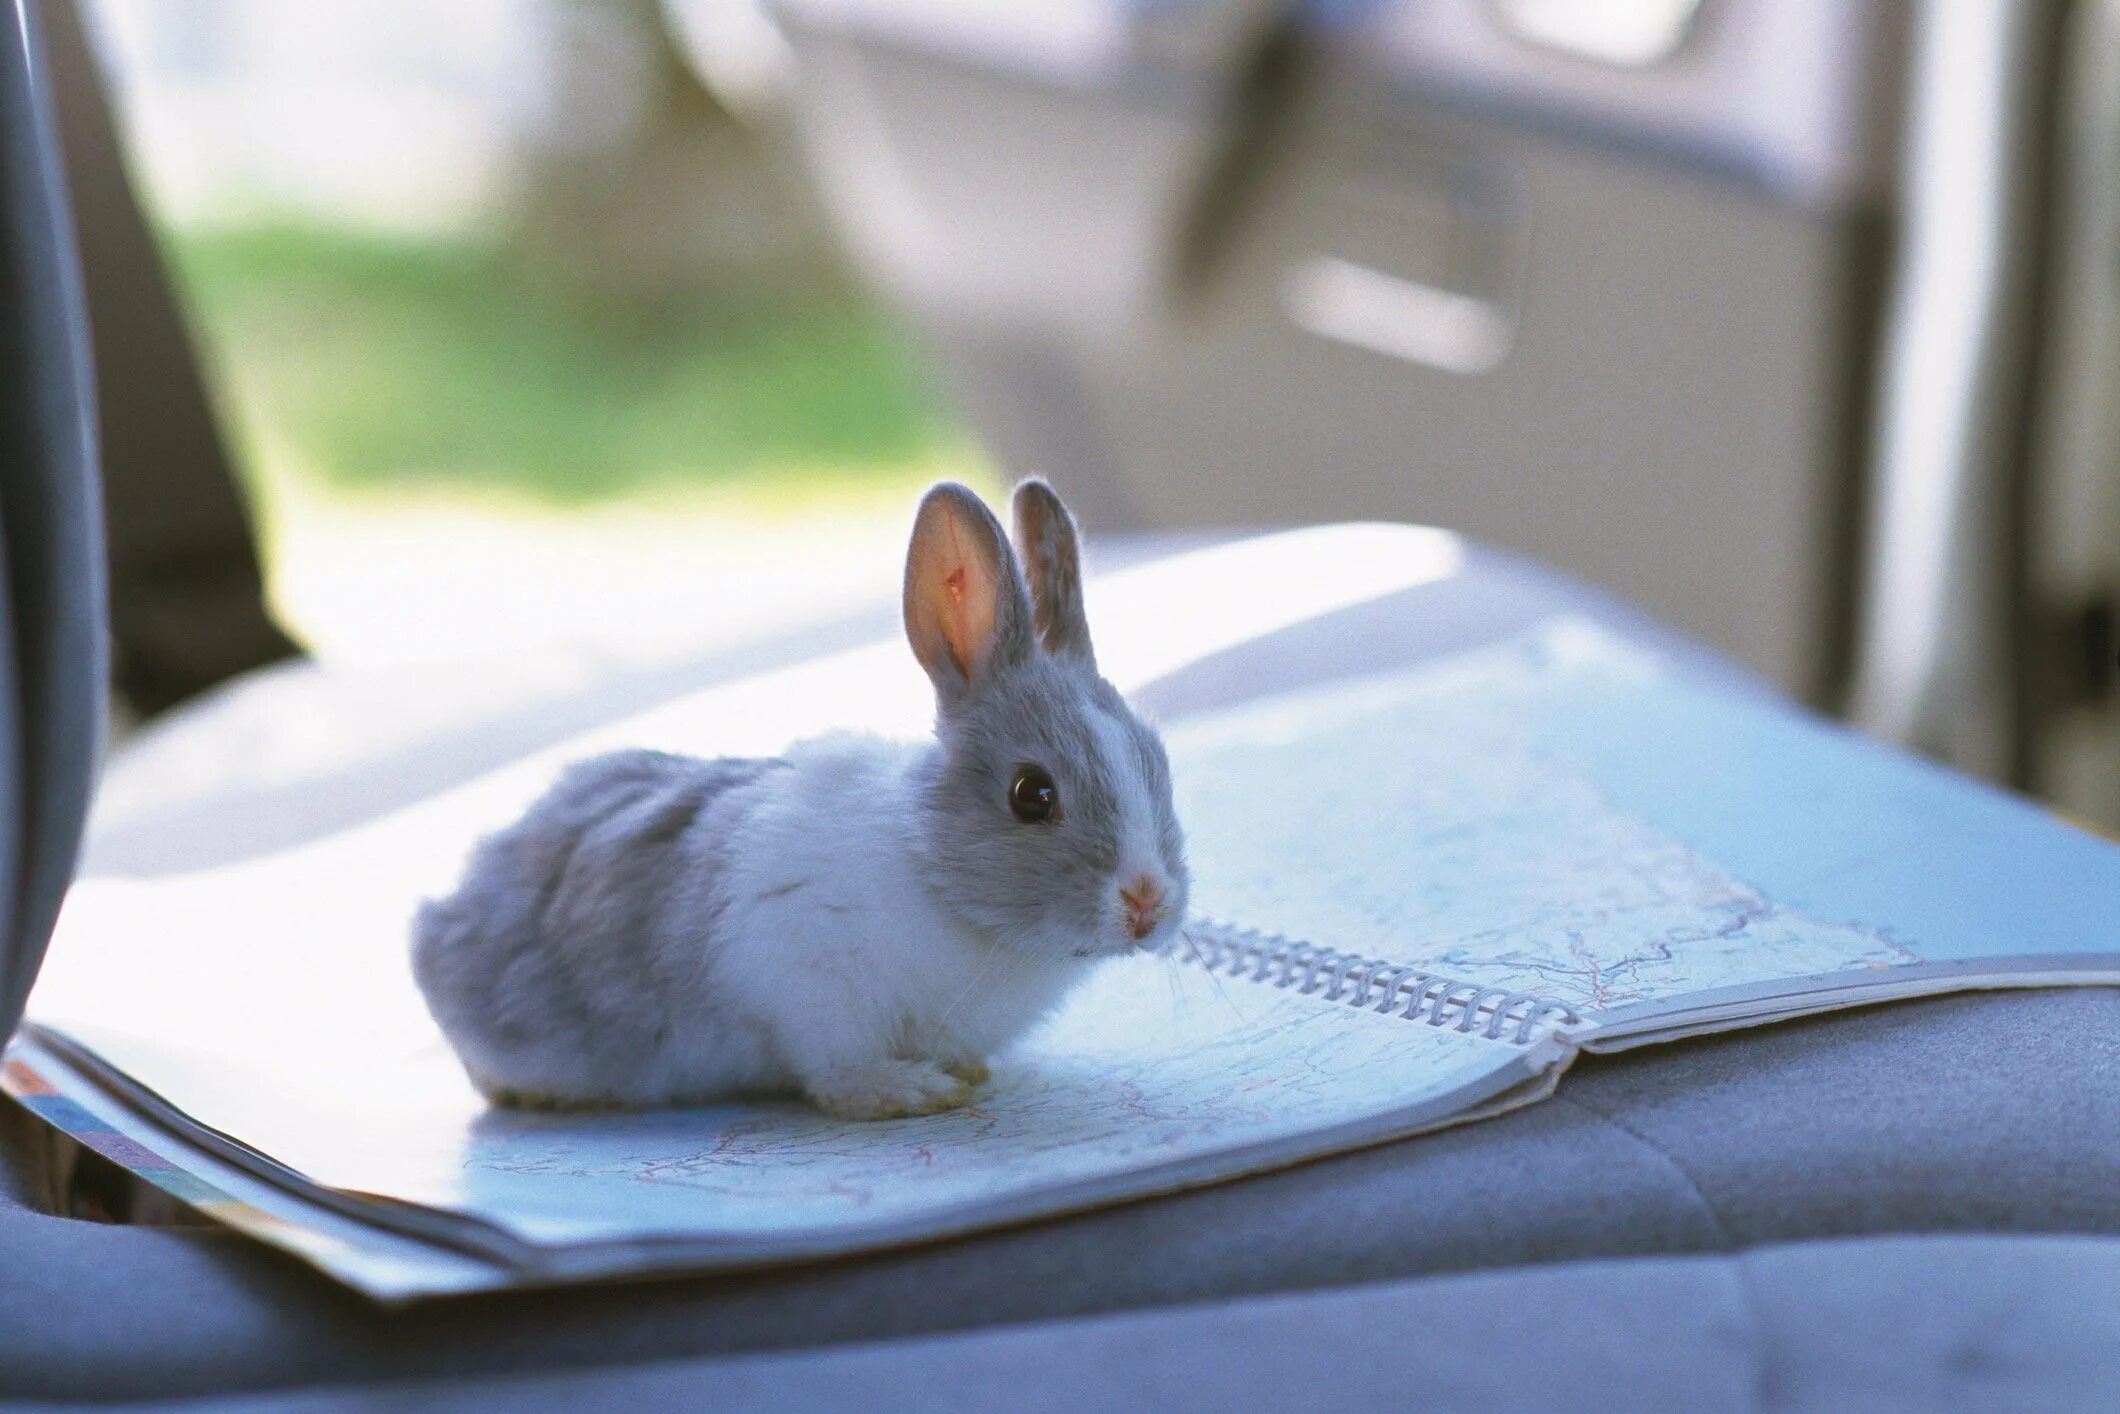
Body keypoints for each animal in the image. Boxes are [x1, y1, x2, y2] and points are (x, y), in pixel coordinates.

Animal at [404, 481, 1187, 1119]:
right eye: (1032, 794)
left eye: (1158, 761)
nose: (1148, 900)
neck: (932, 873)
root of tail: (446, 913)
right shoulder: (806, 980)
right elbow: (837, 1073)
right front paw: (911, 1091)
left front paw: (965, 1072)